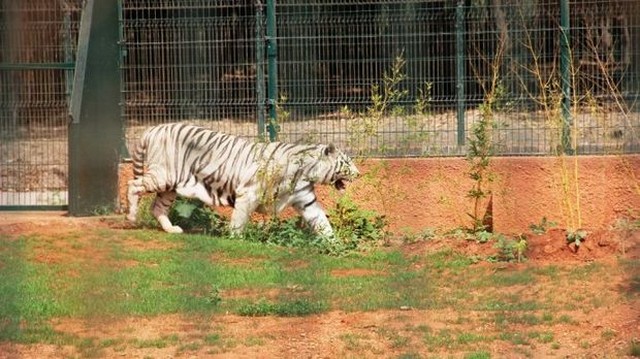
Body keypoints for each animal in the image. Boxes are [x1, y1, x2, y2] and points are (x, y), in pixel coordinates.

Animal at [126, 122, 360, 238]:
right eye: (347, 162)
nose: (359, 174)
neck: (306, 172)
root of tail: (152, 129)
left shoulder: (306, 201)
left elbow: (322, 223)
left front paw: (336, 245)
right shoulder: (249, 193)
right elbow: (239, 220)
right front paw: (236, 239)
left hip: (170, 186)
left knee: (157, 207)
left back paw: (172, 230)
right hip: (163, 175)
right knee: (133, 185)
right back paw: (131, 217)